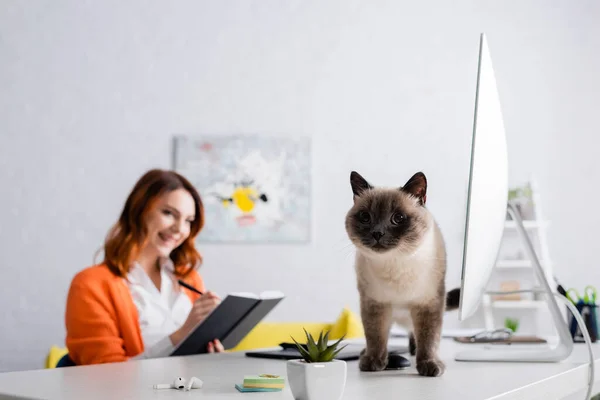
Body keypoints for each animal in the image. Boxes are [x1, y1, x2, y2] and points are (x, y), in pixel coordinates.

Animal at [344, 170, 458, 376]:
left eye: (398, 218)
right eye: (365, 217)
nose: (377, 233)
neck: (395, 264)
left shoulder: (429, 304)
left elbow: (429, 339)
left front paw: (429, 365)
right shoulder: (375, 304)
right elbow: (375, 337)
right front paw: (373, 363)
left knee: (415, 334)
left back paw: (414, 353)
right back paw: (366, 354)